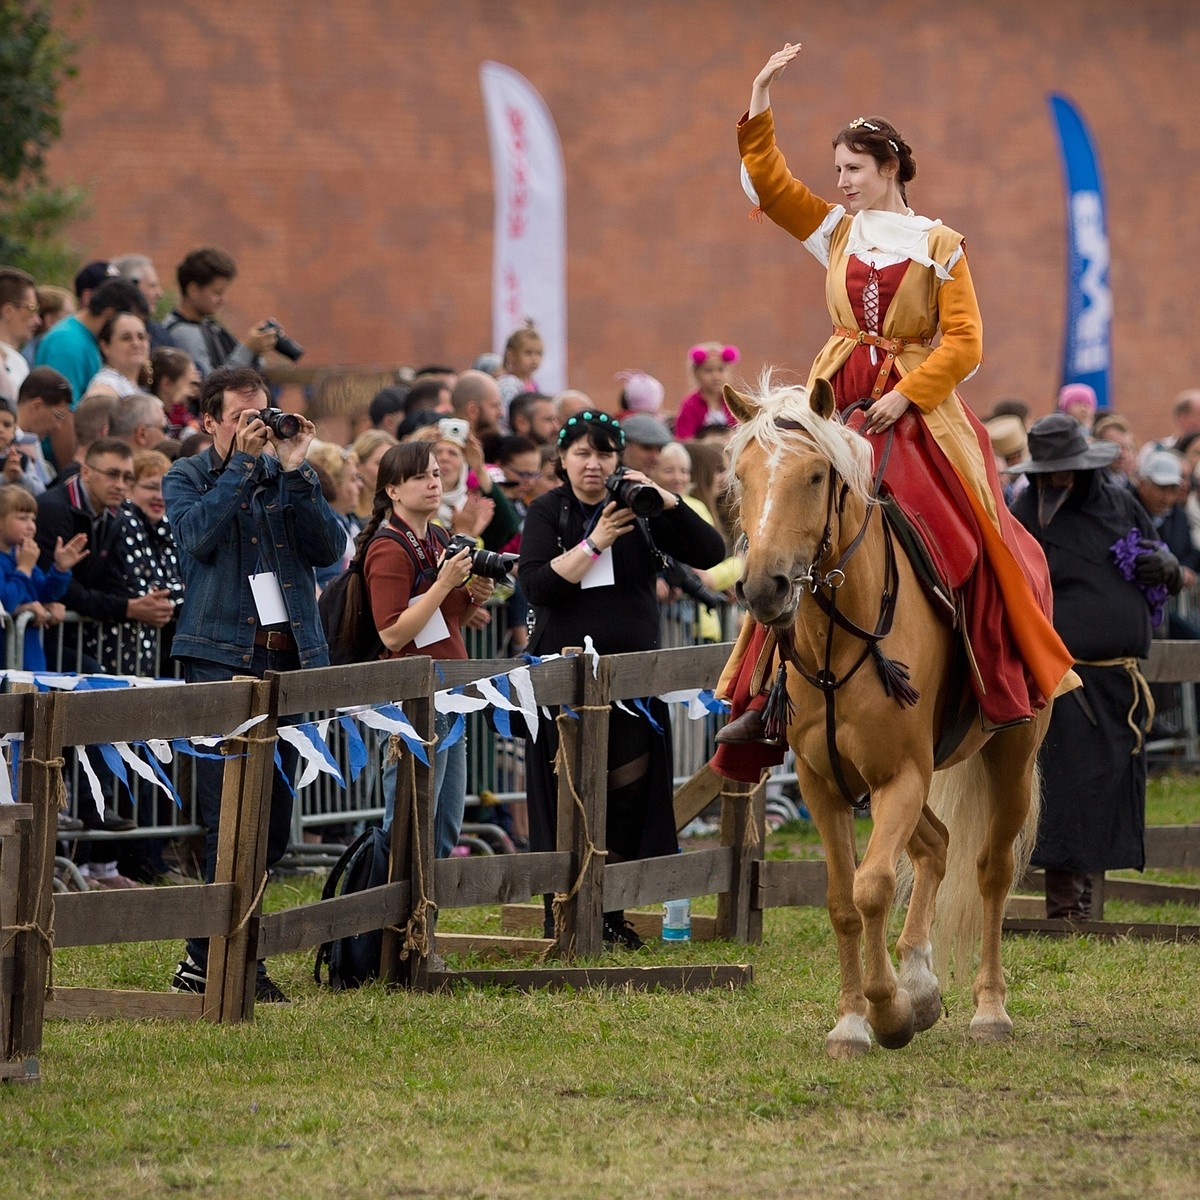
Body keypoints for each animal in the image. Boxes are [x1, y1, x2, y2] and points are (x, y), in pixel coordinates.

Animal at [720, 376, 1051, 1060]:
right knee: (938, 845)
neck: (838, 639)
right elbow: (843, 900)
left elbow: (871, 886)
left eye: (815, 475)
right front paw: (857, 1020)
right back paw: (922, 983)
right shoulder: (826, 784)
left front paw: (887, 1012)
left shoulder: (901, 775)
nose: (764, 588)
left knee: (991, 871)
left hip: (1008, 757)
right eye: (742, 475)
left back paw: (989, 1010)